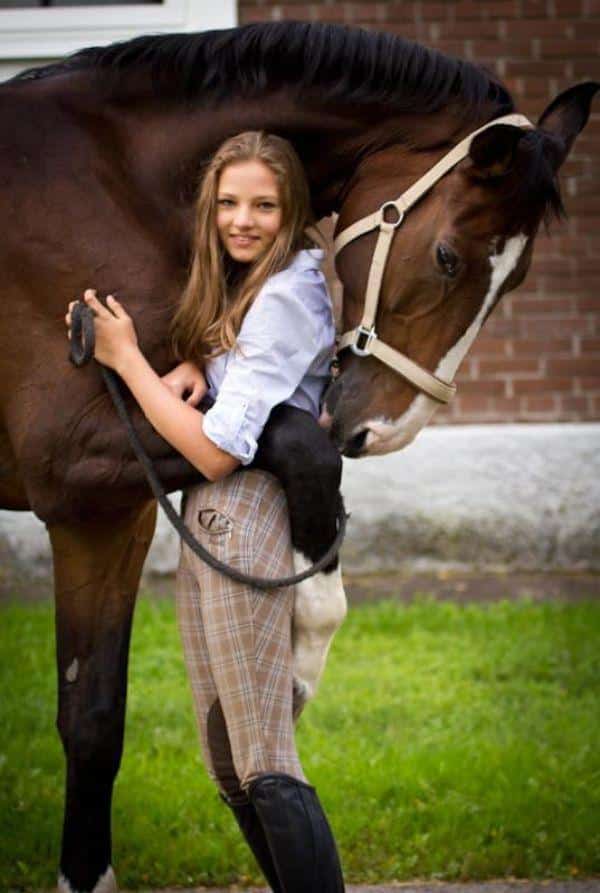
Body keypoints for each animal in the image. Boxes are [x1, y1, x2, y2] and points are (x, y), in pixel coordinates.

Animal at [1, 20, 596, 893]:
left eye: (514, 280)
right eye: (449, 257)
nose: (384, 430)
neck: (119, 183)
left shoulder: (123, 497)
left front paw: (298, 661)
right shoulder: (75, 476)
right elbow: (91, 721)